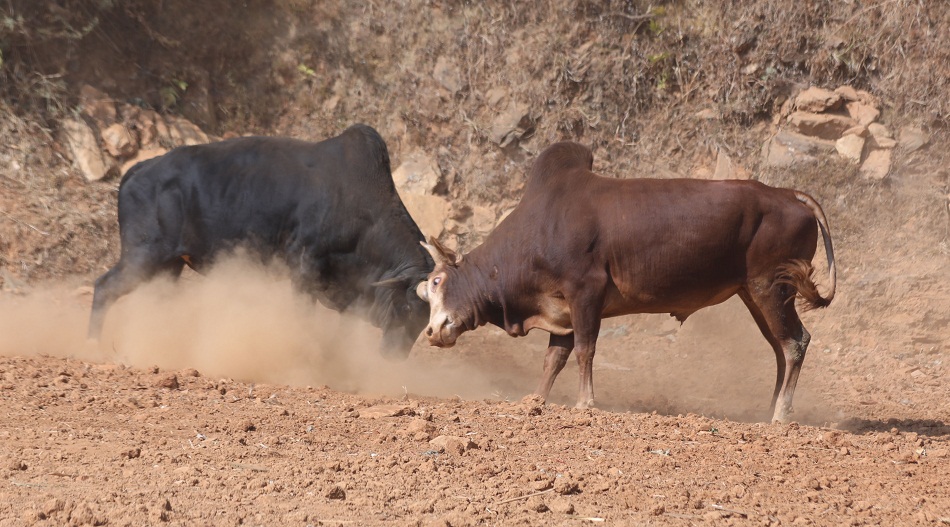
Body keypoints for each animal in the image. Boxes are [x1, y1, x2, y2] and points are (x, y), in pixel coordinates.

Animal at [88, 124, 432, 358]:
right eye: (405, 308)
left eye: (424, 320)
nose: (393, 355)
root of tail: (138, 169)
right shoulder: (304, 269)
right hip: (142, 256)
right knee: (104, 286)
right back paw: (93, 346)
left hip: (169, 266)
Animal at [420, 140, 836, 420]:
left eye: (437, 281)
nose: (433, 331)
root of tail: (789, 195)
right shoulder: (562, 311)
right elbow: (553, 359)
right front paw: (535, 400)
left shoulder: (584, 292)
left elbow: (585, 350)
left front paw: (585, 402)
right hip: (754, 293)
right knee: (780, 347)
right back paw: (770, 409)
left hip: (771, 287)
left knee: (795, 342)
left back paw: (781, 414)